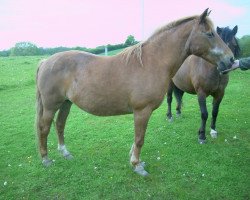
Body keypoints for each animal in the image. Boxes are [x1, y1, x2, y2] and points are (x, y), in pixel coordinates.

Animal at [35, 8, 234, 176]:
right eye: (210, 33)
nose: (231, 60)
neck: (152, 62)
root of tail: (45, 62)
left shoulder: (141, 112)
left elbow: (136, 138)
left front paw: (135, 160)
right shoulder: (142, 111)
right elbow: (139, 138)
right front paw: (137, 165)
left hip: (66, 103)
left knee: (59, 125)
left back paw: (65, 153)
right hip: (51, 105)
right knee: (44, 128)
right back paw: (46, 159)